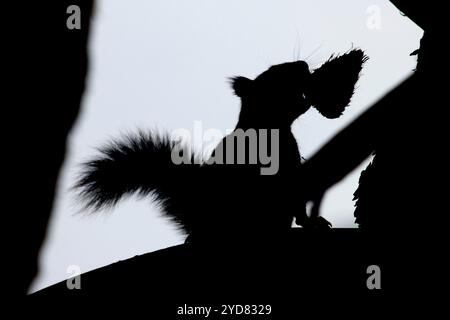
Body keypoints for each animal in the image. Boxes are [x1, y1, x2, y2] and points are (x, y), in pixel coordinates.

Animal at [75, 49, 368, 245]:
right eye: (275, 72)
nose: (303, 64)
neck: (268, 130)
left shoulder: (292, 167)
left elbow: (297, 200)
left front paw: (311, 222)